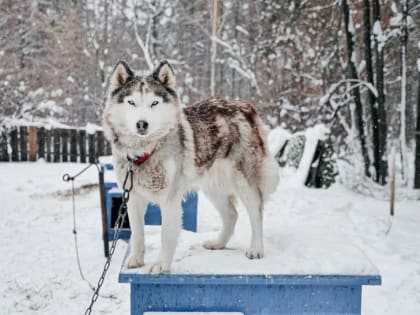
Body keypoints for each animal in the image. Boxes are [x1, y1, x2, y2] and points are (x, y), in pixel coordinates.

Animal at [101, 60, 278, 276]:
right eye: (131, 103)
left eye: (154, 103)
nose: (142, 124)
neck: (145, 152)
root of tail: (244, 106)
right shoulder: (133, 198)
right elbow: (137, 232)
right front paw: (136, 259)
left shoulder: (170, 200)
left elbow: (165, 235)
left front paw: (161, 264)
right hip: (213, 187)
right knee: (231, 214)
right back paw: (218, 243)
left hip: (244, 182)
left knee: (256, 212)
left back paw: (256, 249)